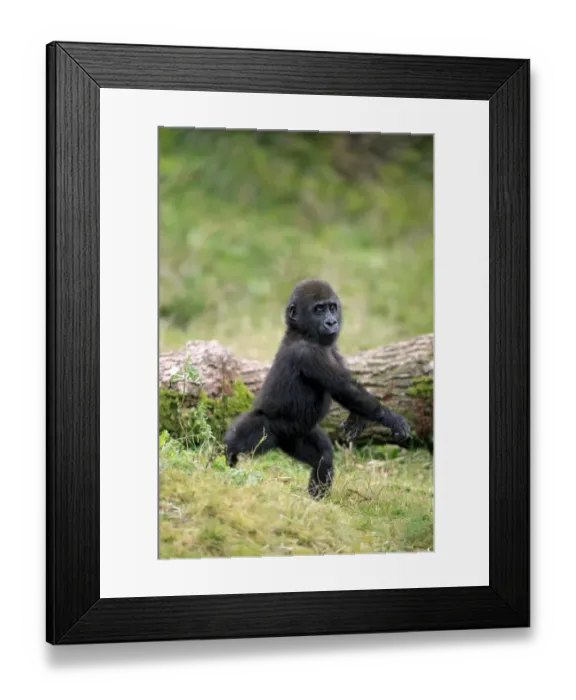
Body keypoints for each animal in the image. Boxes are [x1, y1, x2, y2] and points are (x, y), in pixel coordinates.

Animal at [223, 279, 411, 499]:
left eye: (332, 307)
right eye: (319, 310)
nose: (331, 322)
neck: (302, 333)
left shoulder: (333, 349)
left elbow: (349, 391)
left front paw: (358, 419)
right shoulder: (308, 354)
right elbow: (344, 388)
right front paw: (390, 417)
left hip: (294, 438)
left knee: (323, 456)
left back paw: (317, 498)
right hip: (264, 425)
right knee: (235, 442)